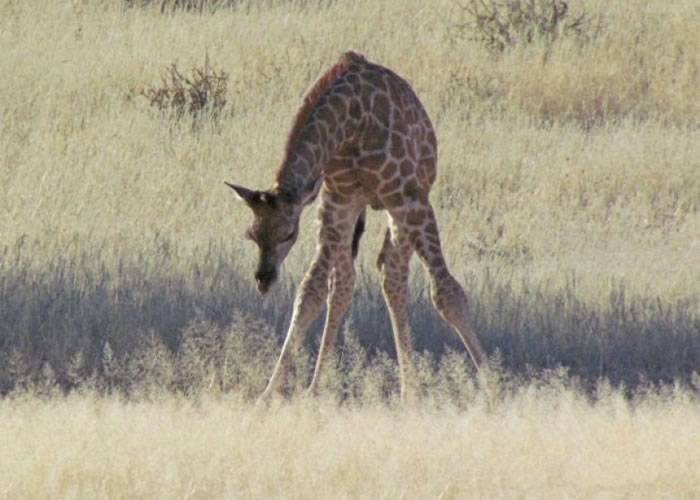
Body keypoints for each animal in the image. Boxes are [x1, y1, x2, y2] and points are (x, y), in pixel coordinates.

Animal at [227, 51, 484, 402]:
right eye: (252, 235)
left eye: (289, 234)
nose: (263, 280)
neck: (352, 125)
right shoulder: (338, 201)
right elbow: (311, 292)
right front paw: (269, 395)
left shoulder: (407, 197)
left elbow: (447, 293)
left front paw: (493, 386)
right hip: (352, 210)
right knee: (350, 281)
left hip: (406, 203)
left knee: (393, 274)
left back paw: (410, 391)